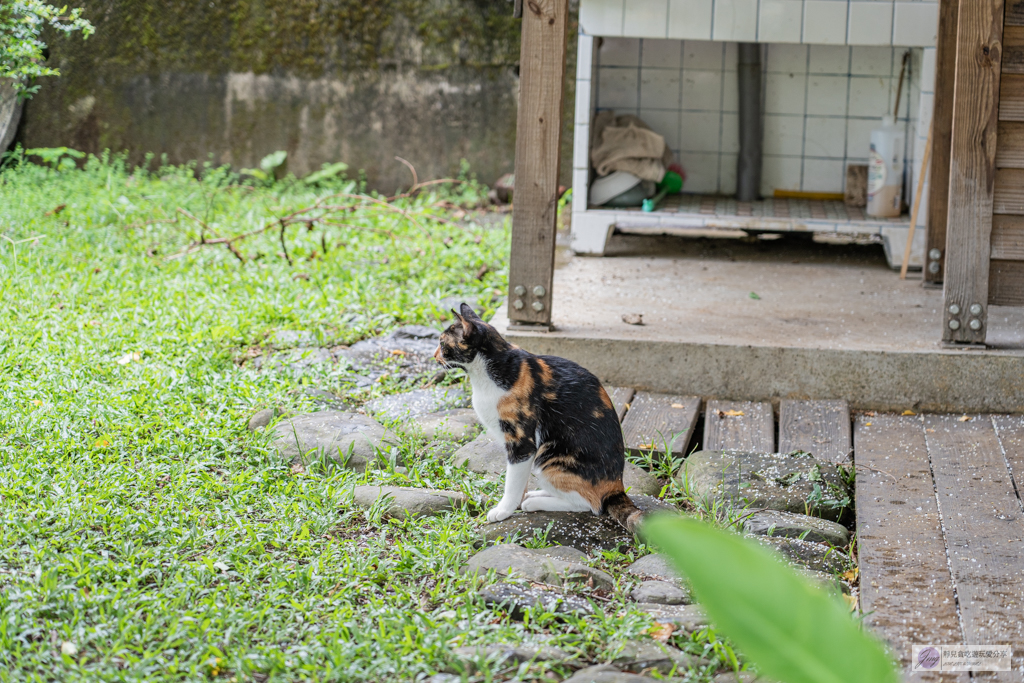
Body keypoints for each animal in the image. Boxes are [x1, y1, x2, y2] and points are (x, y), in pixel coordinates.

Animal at [432, 305, 638, 532]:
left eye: (443, 343)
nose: (434, 356)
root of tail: (616, 487)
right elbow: (517, 479)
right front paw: (515, 502)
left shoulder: (522, 443)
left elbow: (513, 480)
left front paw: (504, 509)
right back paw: (537, 494)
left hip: (550, 457)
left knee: (591, 504)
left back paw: (534, 503)